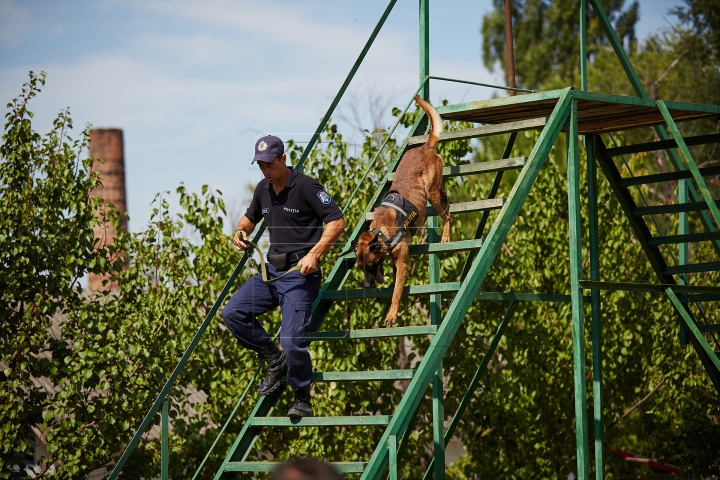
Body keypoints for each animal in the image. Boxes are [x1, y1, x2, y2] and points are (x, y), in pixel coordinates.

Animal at [356, 95, 450, 324]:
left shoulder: (402, 263)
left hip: (431, 194)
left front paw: (391, 314)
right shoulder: (392, 260)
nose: (367, 286)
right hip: (436, 188)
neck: (382, 232)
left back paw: (446, 234)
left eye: (369, 265)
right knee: (445, 195)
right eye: (361, 267)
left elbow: (397, 292)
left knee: (447, 214)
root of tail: (425, 146)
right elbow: (393, 278)